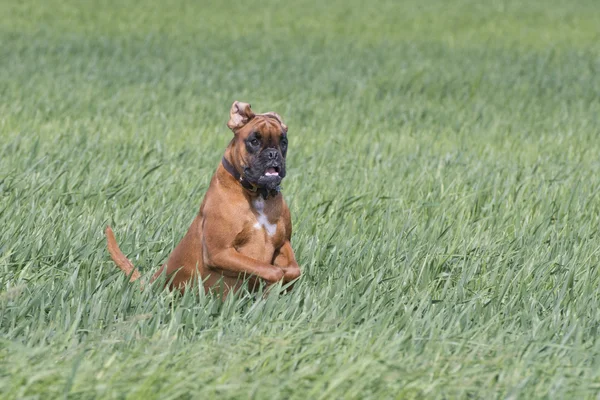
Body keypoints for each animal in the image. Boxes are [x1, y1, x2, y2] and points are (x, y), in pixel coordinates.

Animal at [106, 101, 302, 296]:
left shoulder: (283, 242)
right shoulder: (220, 253)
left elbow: (295, 270)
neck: (256, 195)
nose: (272, 154)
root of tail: (149, 284)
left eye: (283, 142)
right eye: (254, 141)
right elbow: (271, 270)